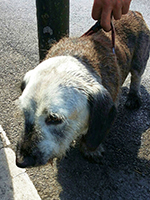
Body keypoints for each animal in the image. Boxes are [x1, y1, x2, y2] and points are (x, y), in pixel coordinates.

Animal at [15, 10, 150, 167]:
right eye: (24, 111)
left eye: (54, 118)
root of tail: (134, 12)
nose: (21, 160)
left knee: (136, 77)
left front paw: (90, 149)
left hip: (139, 61)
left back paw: (133, 96)